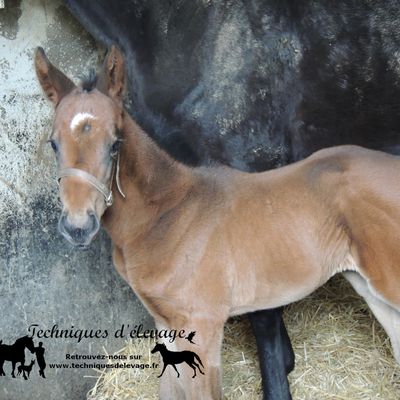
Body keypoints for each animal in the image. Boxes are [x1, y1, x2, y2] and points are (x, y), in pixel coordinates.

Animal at [35, 46, 400, 396]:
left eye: (115, 144)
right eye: (53, 143)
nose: (78, 227)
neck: (166, 214)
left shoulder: (204, 326)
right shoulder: (166, 322)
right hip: (368, 285)